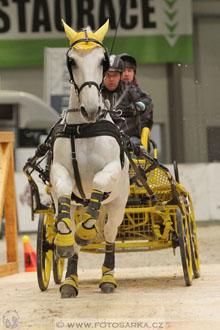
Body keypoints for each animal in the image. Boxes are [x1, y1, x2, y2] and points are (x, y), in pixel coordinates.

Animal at [50, 19, 129, 298]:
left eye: (102, 61)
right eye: (71, 61)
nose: (92, 109)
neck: (84, 128)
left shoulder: (112, 169)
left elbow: (99, 182)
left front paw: (87, 232)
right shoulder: (59, 171)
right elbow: (63, 189)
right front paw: (64, 241)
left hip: (119, 204)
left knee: (109, 233)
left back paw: (108, 277)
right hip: (76, 206)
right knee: (74, 235)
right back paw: (70, 281)